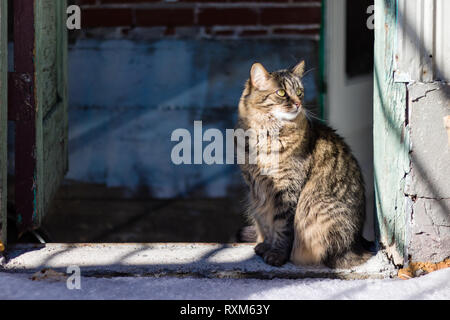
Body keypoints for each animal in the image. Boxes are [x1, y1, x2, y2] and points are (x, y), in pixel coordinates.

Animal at [237, 61, 370, 268]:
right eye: (281, 92)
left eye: (299, 92)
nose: (298, 104)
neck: (265, 135)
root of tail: (358, 242)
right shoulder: (257, 191)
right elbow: (266, 224)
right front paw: (265, 247)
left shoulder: (287, 190)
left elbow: (282, 229)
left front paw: (276, 255)